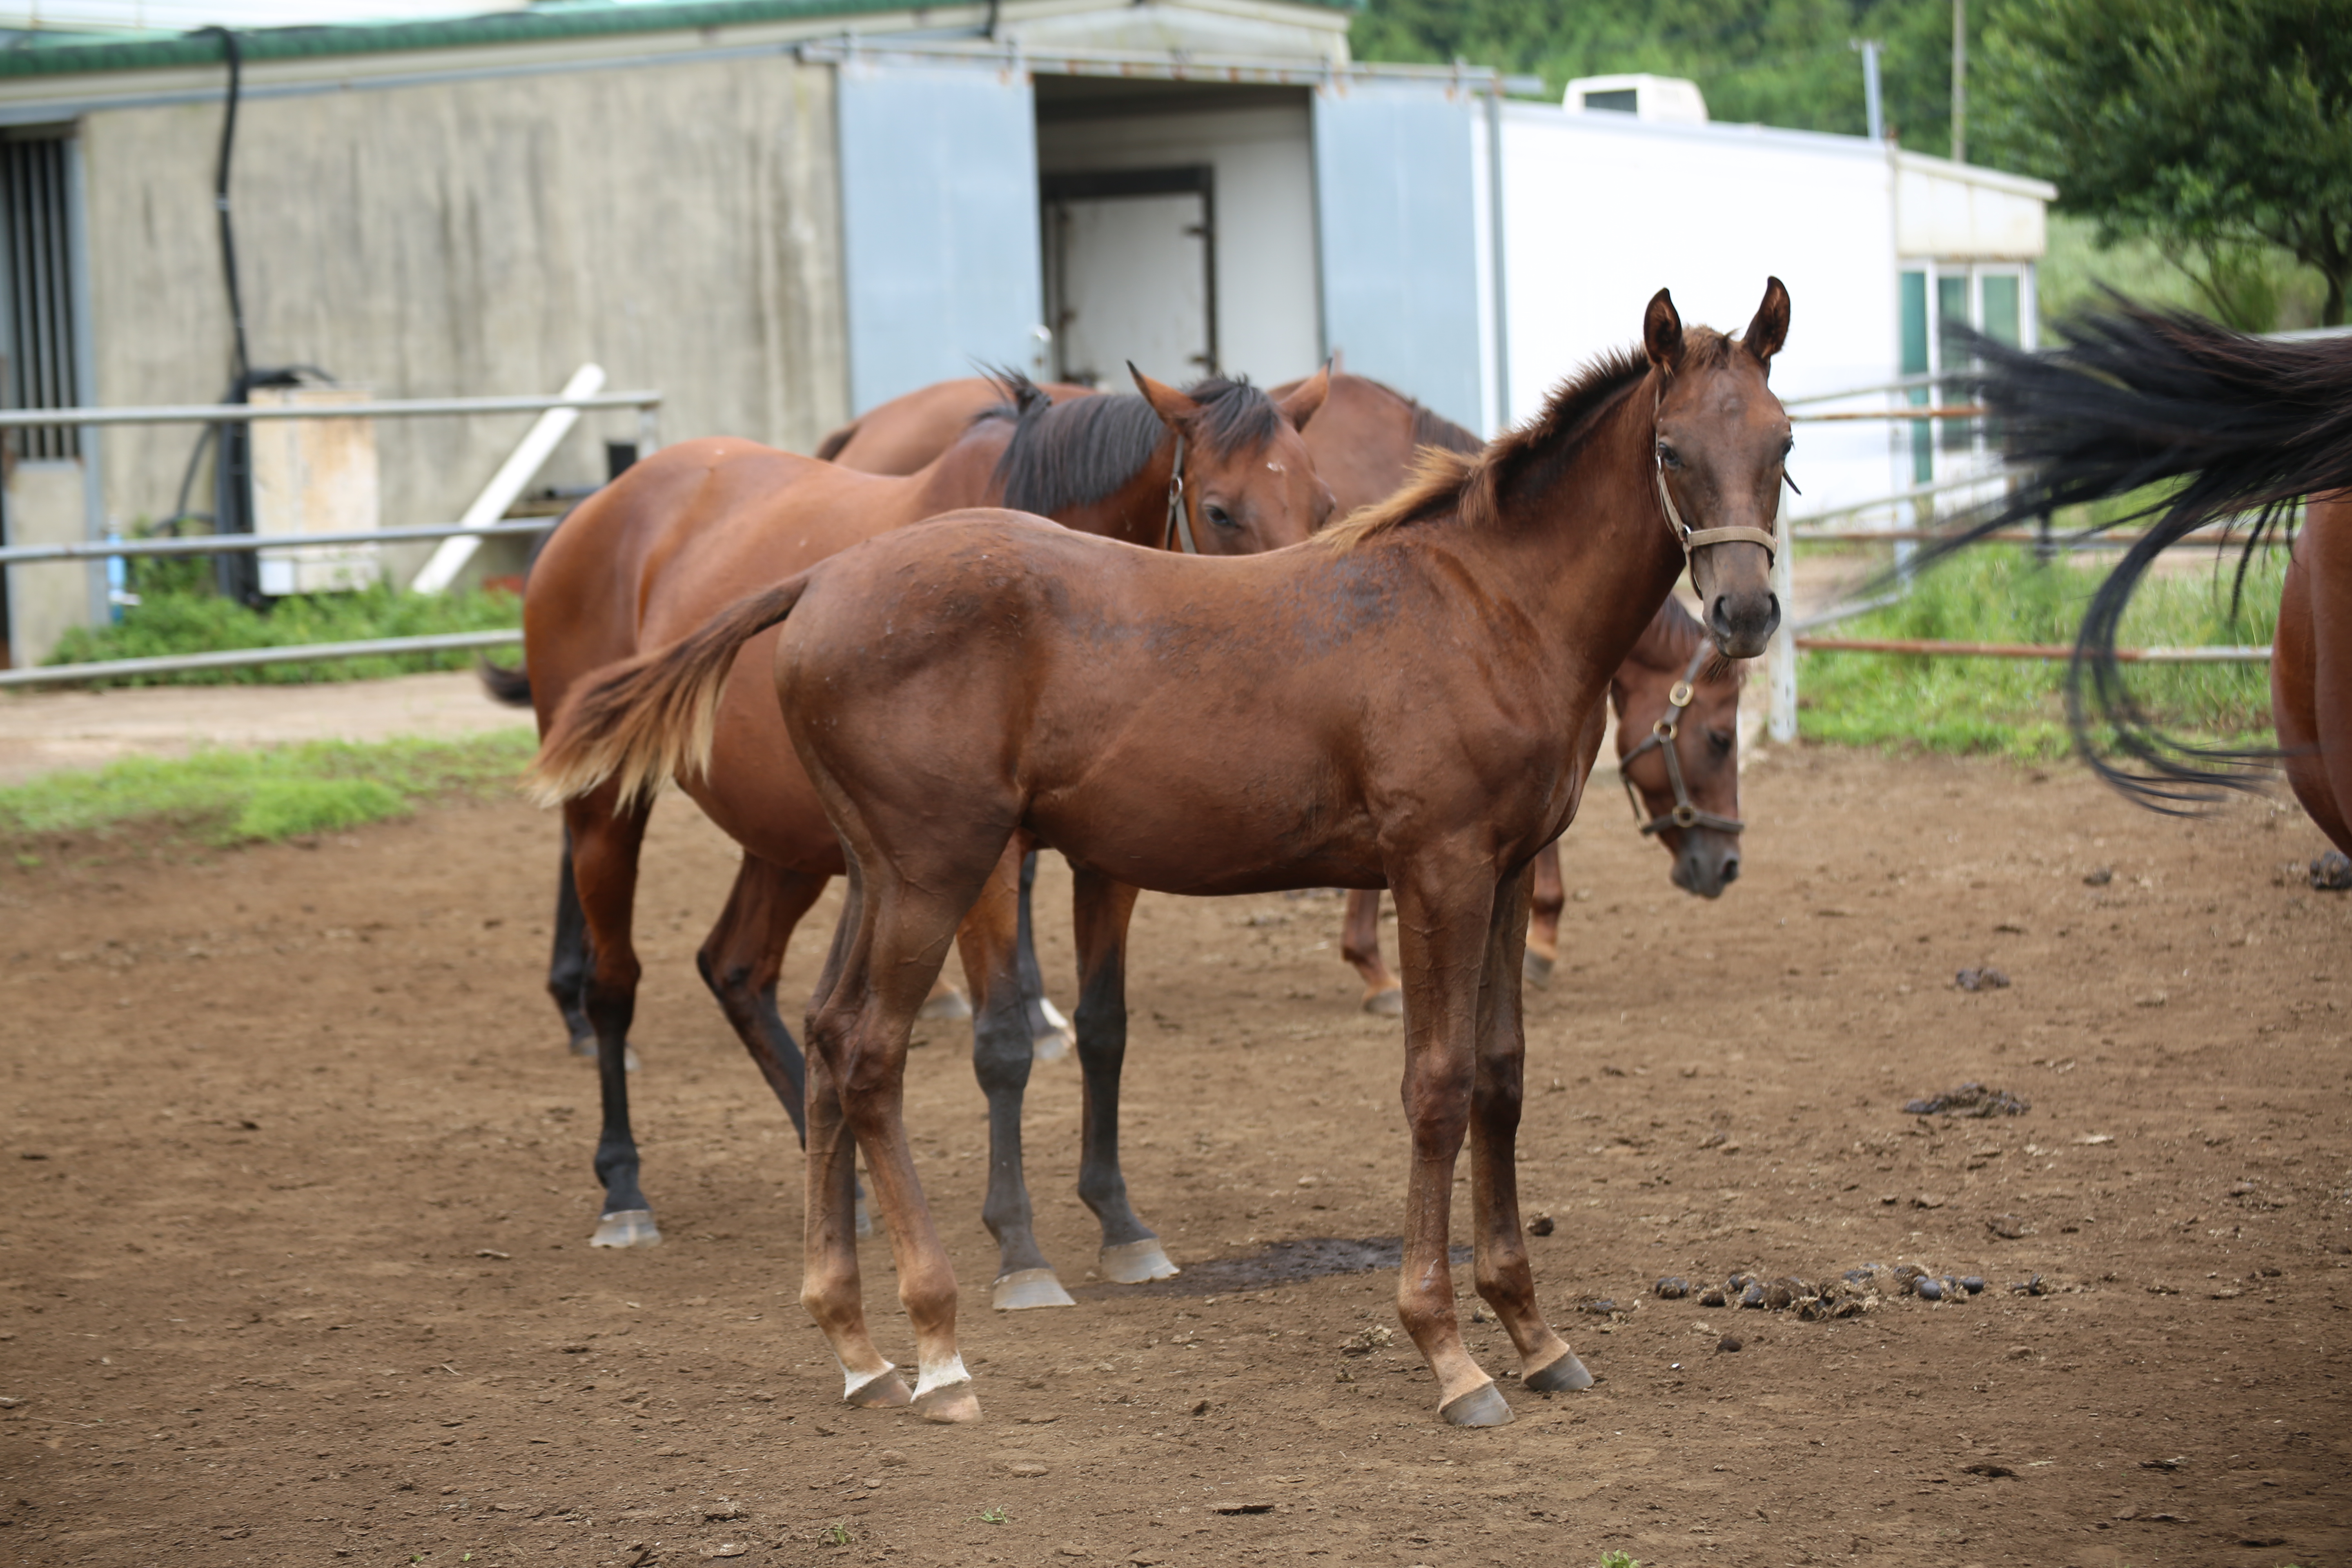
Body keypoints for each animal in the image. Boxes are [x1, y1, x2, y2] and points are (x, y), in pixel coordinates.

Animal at [508, 364, 1336, 1250]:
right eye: (1219, 510)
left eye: (1322, 504)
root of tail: (589, 513)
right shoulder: (985, 863)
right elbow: (1002, 1038)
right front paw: (1019, 1240)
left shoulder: (1112, 856)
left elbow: (1105, 1027)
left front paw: (1119, 1219)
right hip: (608, 808)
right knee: (615, 986)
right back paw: (624, 1186)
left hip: (789, 843)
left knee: (737, 969)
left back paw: (839, 1181)